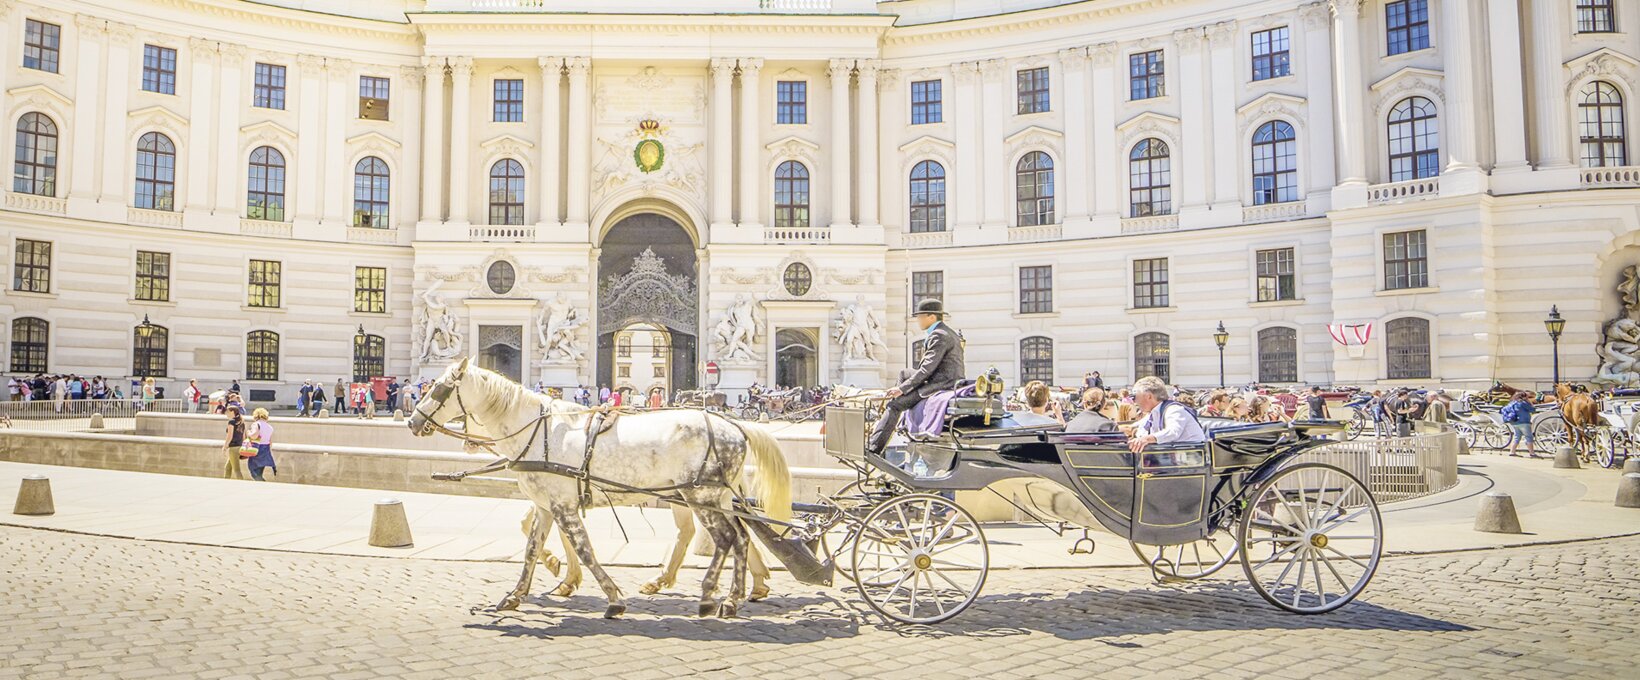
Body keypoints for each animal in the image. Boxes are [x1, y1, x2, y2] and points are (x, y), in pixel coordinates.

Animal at [413, 358, 790, 619]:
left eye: (439, 388)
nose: (413, 421)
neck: (537, 431)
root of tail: (734, 424)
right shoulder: (547, 505)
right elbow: (532, 549)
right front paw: (516, 595)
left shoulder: (562, 504)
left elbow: (585, 550)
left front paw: (612, 599)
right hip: (715, 497)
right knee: (741, 537)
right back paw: (734, 597)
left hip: (700, 496)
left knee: (726, 538)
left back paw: (711, 595)